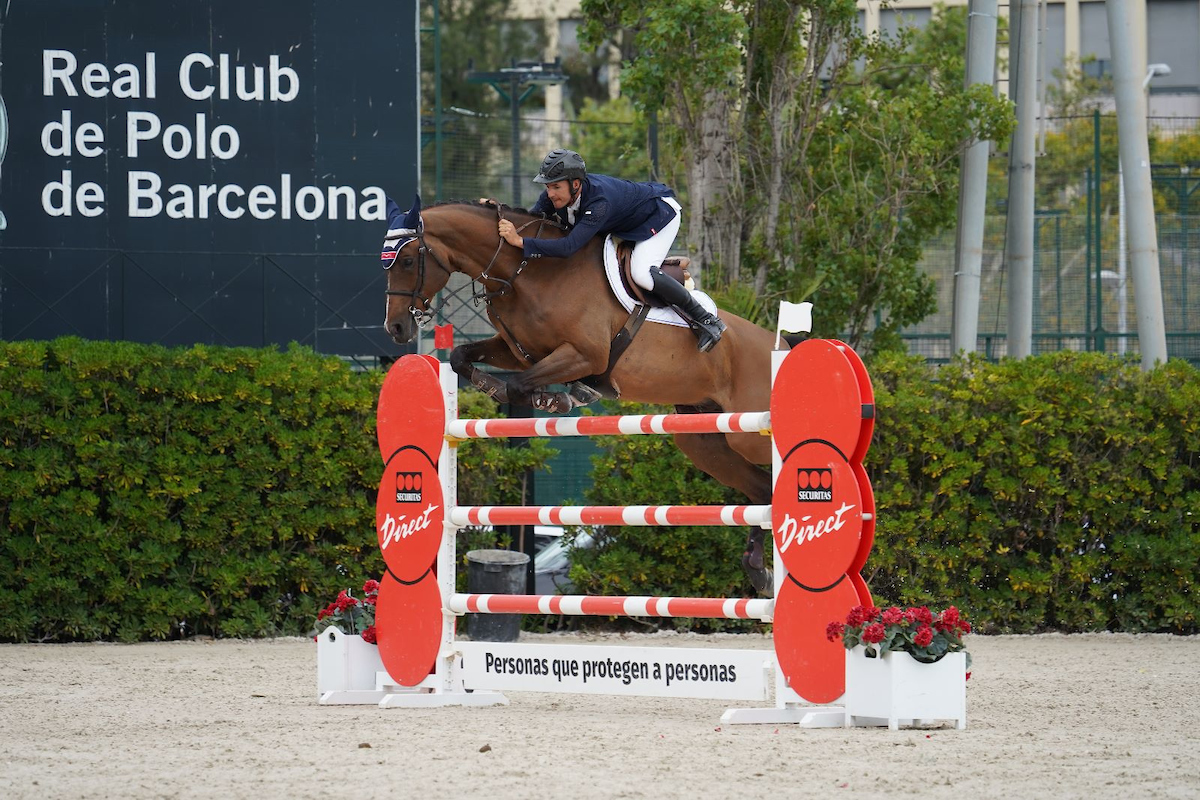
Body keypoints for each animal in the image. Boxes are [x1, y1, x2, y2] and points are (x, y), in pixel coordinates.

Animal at [379, 196, 782, 592]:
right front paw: (499, 386)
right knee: (763, 491)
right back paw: (757, 571)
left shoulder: (584, 355)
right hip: (706, 442)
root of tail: (776, 345)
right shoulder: (517, 350)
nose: (395, 328)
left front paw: (554, 399)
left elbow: (519, 385)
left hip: (748, 434)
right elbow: (463, 356)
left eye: (409, 260)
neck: (527, 273)